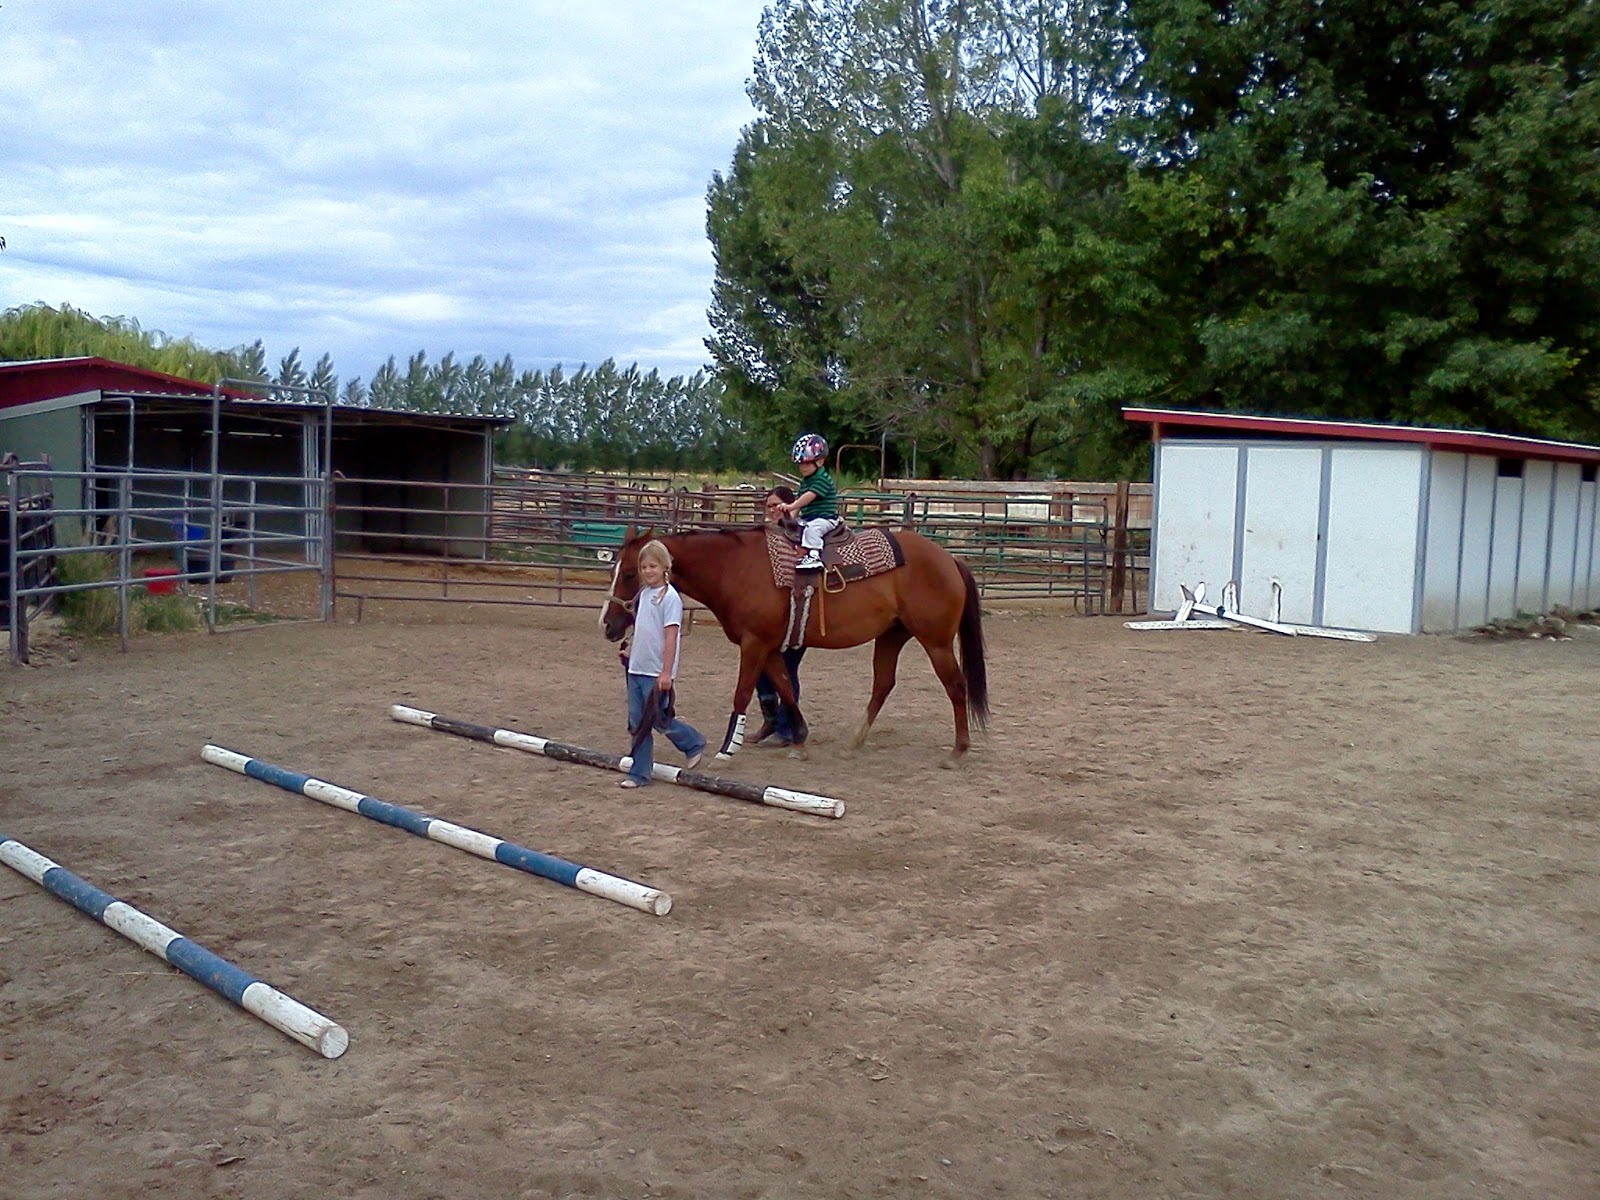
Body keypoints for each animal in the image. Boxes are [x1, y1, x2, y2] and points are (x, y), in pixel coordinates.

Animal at [600, 523, 989, 763]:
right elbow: (785, 687)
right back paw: (854, 741)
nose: (607, 624)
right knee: (883, 684)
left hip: (936, 642)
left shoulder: (754, 644)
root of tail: (950, 559)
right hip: (892, 636)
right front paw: (800, 739)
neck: (735, 568)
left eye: (632, 573)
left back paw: (958, 751)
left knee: (956, 685)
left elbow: (742, 693)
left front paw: (727, 749)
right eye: (614, 570)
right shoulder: (770, 646)